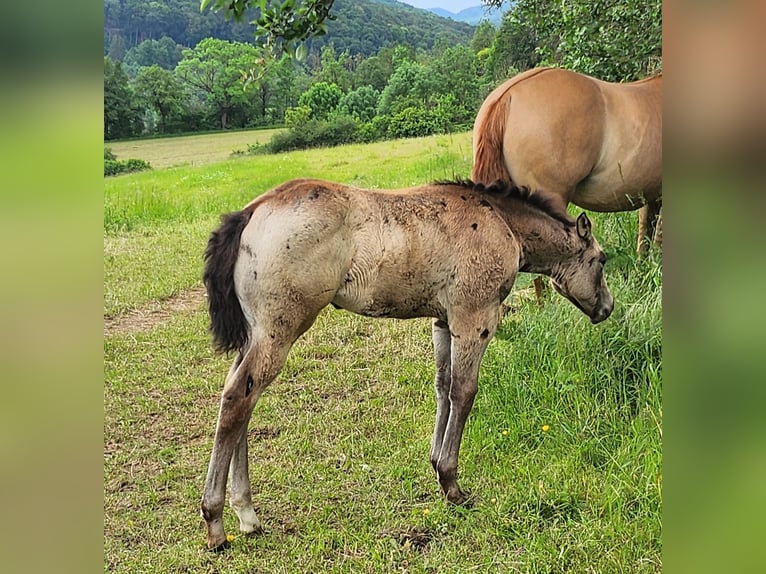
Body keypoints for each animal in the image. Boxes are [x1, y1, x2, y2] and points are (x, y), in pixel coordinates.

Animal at [201, 178, 616, 552]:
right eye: (601, 260)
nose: (607, 308)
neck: (501, 221)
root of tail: (251, 211)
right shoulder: (475, 318)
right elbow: (463, 392)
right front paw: (452, 485)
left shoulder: (443, 321)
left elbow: (443, 388)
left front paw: (435, 465)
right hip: (280, 331)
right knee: (238, 398)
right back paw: (217, 523)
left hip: (256, 334)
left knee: (241, 401)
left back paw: (247, 515)